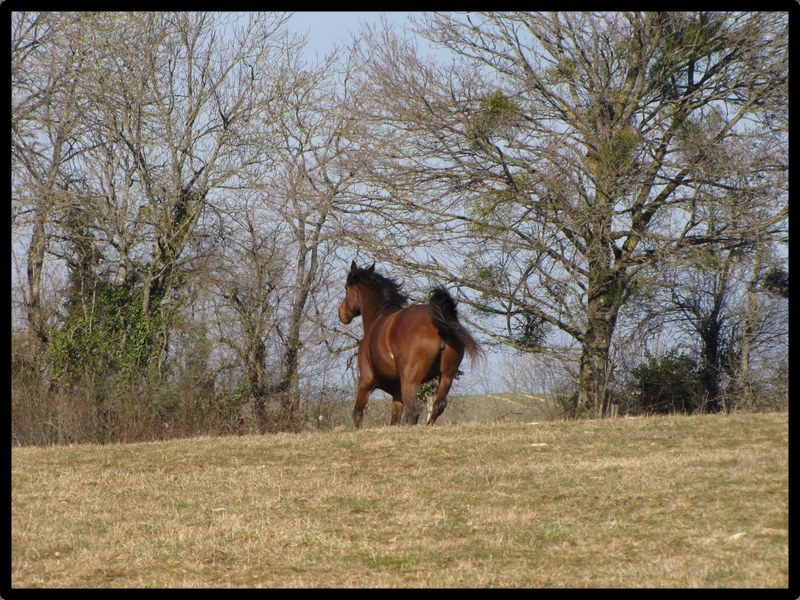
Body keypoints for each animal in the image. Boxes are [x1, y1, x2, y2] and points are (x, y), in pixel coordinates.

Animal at [338, 262, 482, 426]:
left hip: (410, 382)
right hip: (447, 375)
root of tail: (439, 323)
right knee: (439, 405)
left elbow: (357, 413)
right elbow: (394, 420)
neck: (378, 318)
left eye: (346, 288)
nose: (342, 313)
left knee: (413, 412)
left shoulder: (365, 381)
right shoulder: (397, 394)